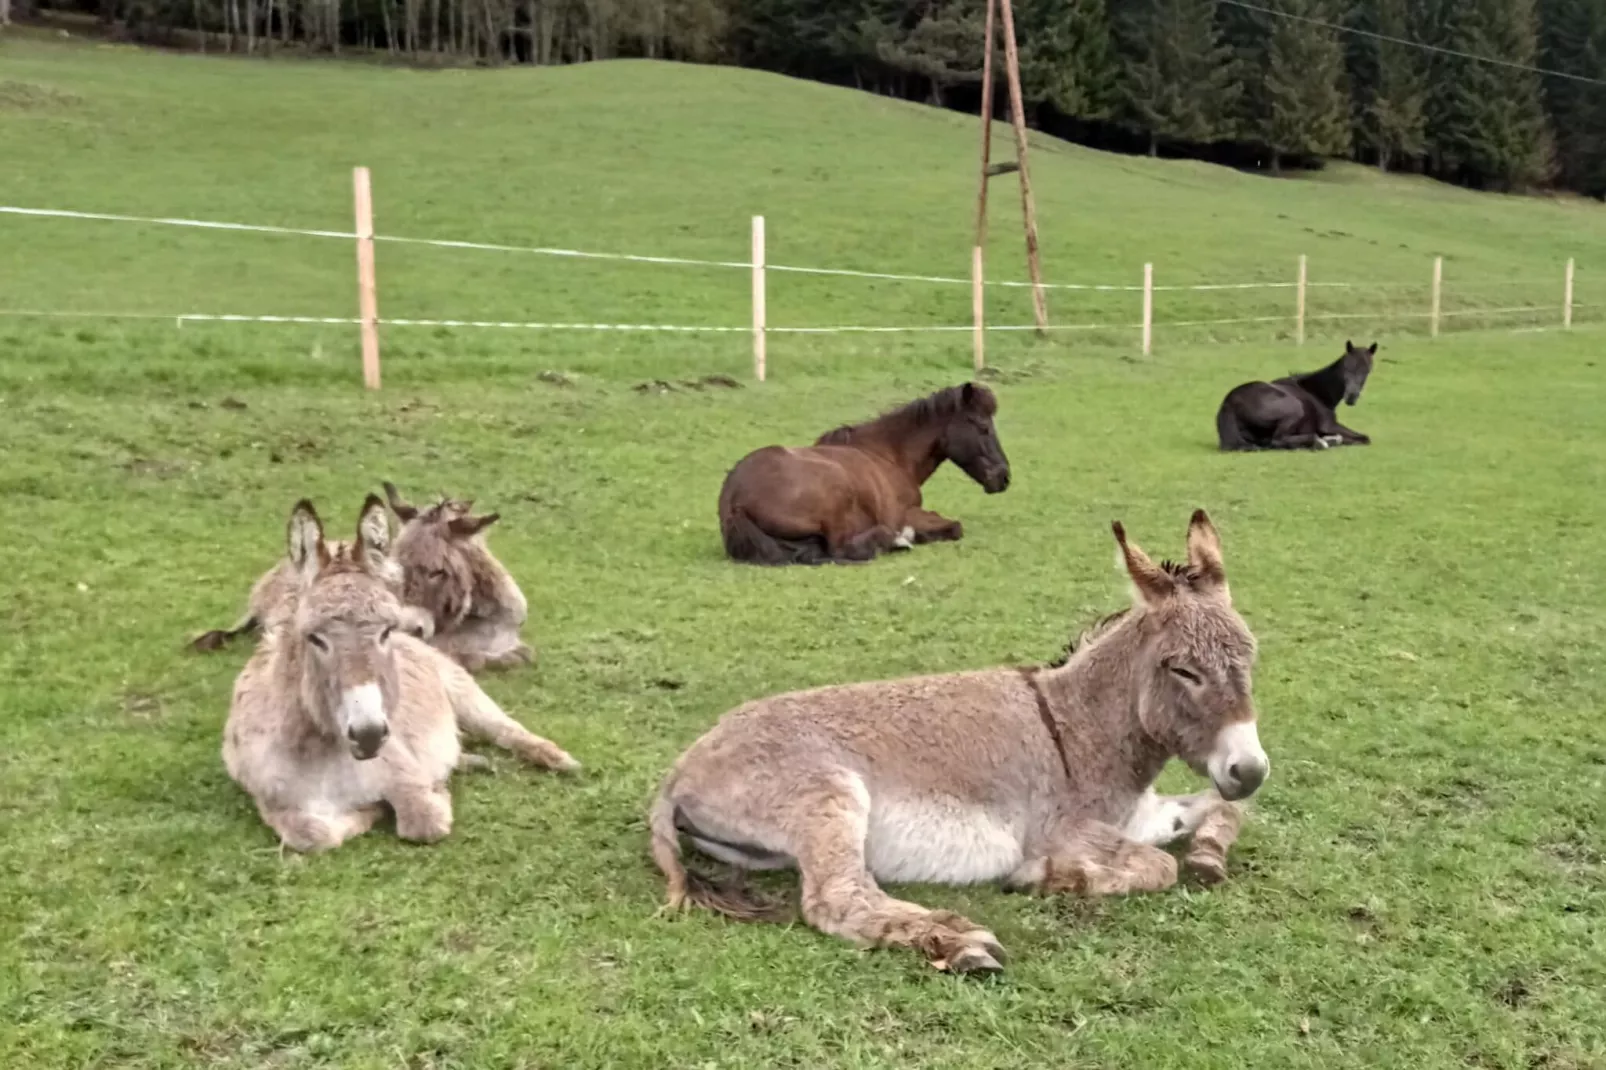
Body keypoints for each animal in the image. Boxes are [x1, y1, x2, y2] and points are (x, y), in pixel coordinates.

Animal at [648, 514, 1265, 970]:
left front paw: (1207, 854)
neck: (1079, 724)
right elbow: (1159, 867)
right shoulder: (1061, 830)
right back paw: (957, 943)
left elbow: (1226, 813)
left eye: (1252, 655)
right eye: (1182, 670)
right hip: (827, 795)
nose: (1251, 770)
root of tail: (677, 772)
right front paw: (1049, 878)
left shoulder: (1144, 814)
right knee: (836, 899)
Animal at [719, 383, 1008, 565]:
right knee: (843, 547)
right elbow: (954, 526)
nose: (1004, 476)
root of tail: (734, 500)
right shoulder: (905, 513)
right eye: (983, 426)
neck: (889, 455)